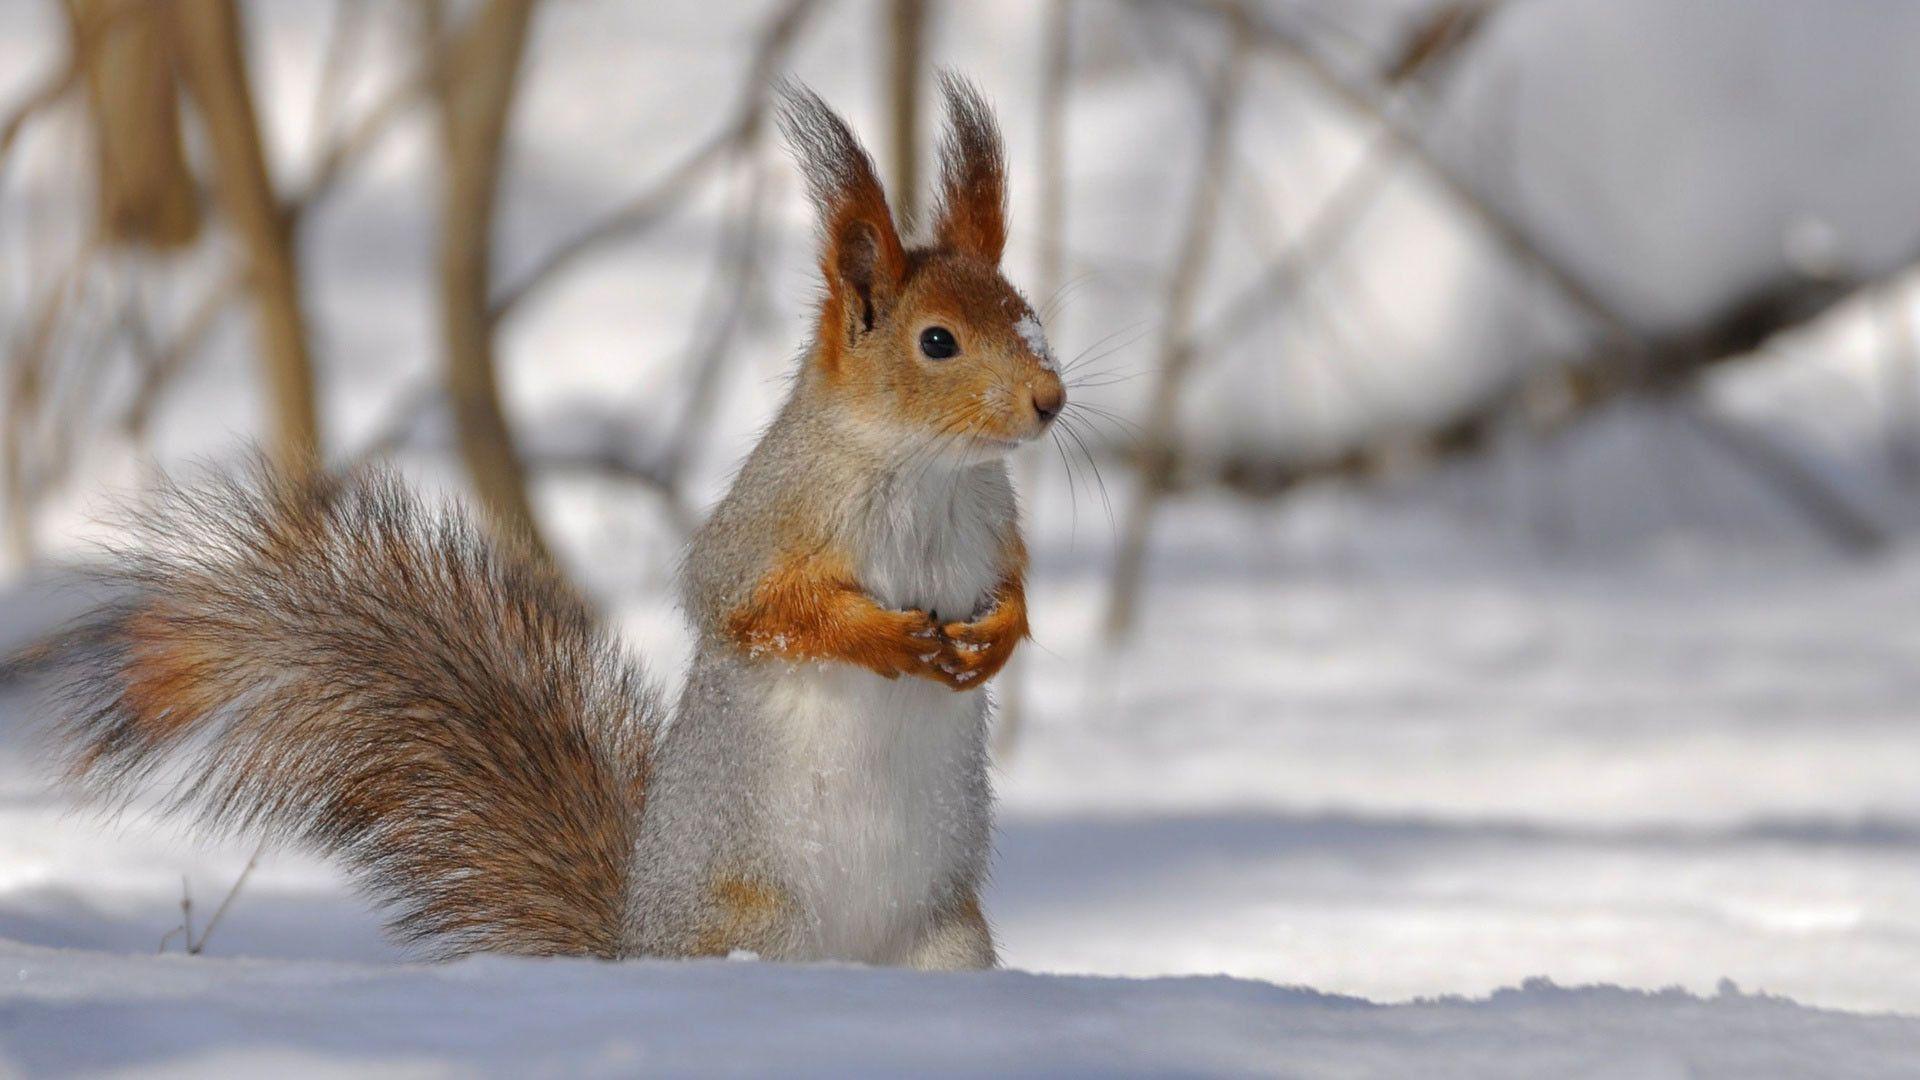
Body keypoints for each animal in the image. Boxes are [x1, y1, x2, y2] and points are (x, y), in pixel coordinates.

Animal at [30, 75, 1059, 968]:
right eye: (937, 342)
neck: (927, 471)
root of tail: (634, 947)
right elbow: (750, 608)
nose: (1049, 400)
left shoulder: (993, 523)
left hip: (946, 939)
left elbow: (1011, 585)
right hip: (760, 922)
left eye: (1028, 314)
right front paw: (886, 638)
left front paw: (998, 637)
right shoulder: (768, 523)